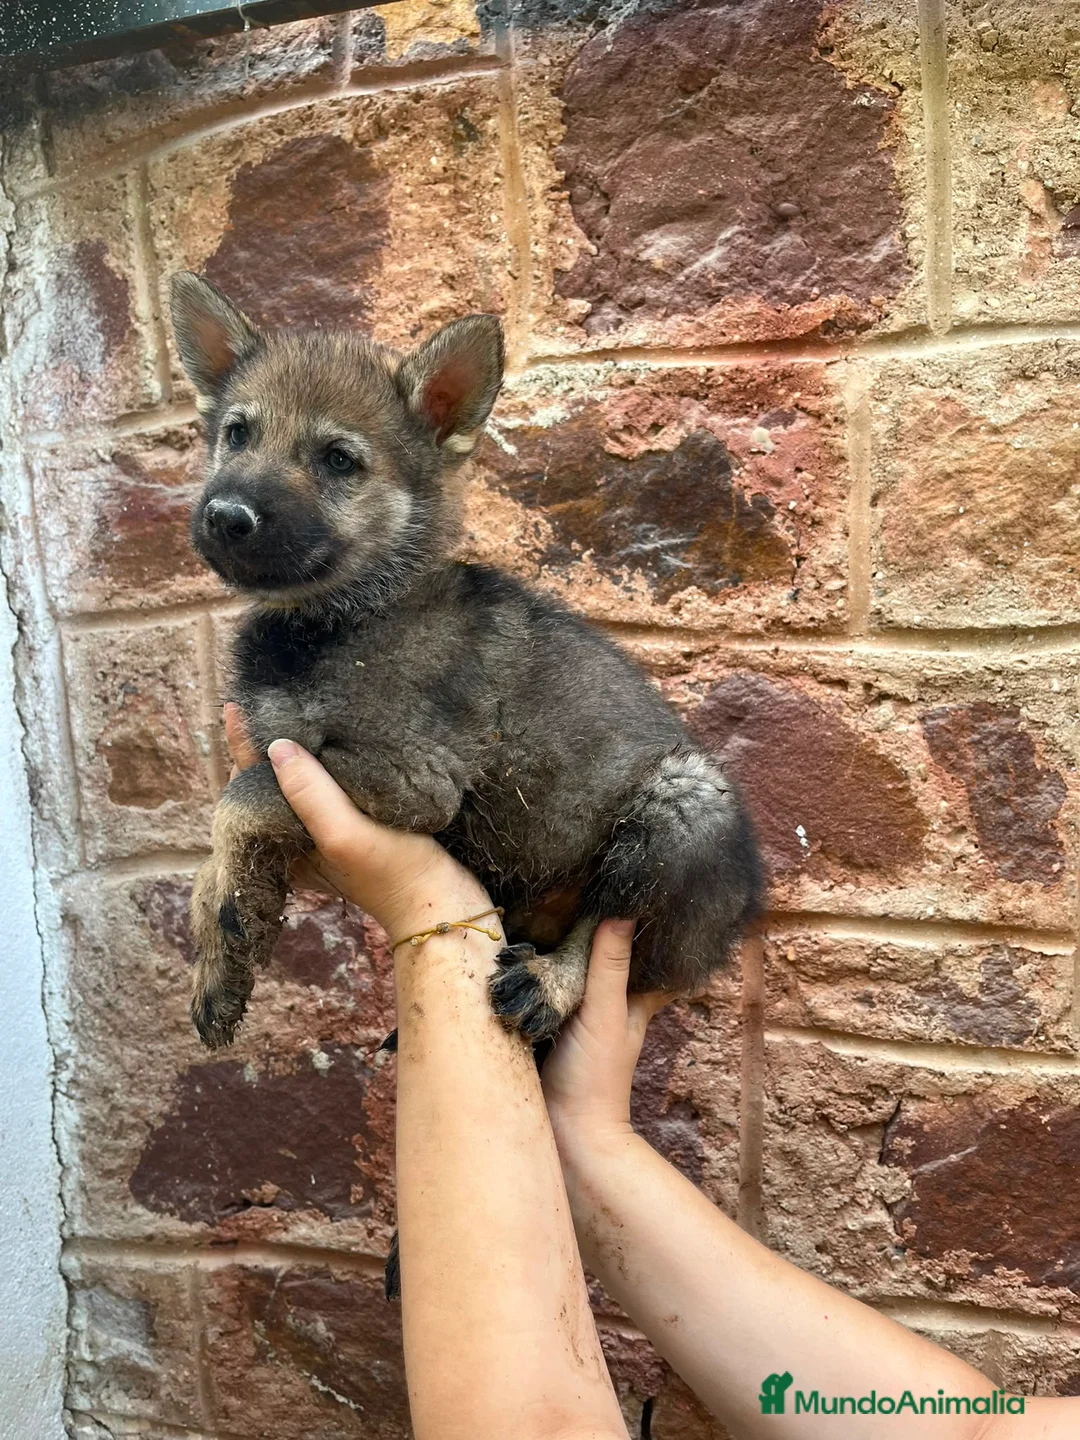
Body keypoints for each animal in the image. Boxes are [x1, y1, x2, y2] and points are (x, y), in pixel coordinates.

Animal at [171, 272, 763, 1057]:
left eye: (338, 460)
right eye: (236, 434)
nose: (226, 517)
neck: (347, 614)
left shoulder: (409, 777)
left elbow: (239, 804)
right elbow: (223, 849)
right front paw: (222, 946)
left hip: (683, 807)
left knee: (611, 932)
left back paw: (551, 982)